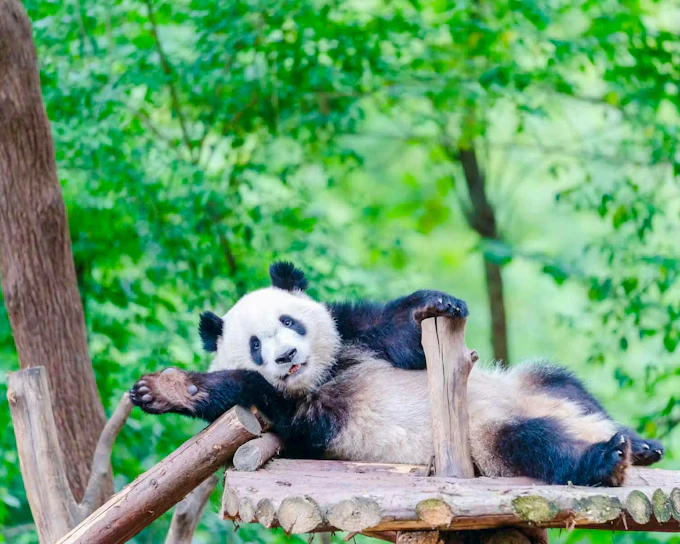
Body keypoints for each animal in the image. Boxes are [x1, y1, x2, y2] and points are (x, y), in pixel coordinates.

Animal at [130, 261, 664, 486]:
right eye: (255, 345)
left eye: (289, 321)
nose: (286, 357)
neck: (324, 374)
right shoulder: (305, 419)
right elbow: (257, 394)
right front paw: (164, 388)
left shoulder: (355, 332)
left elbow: (402, 335)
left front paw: (437, 303)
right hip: (485, 439)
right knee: (533, 444)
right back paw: (606, 458)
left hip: (530, 385)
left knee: (565, 385)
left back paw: (638, 444)